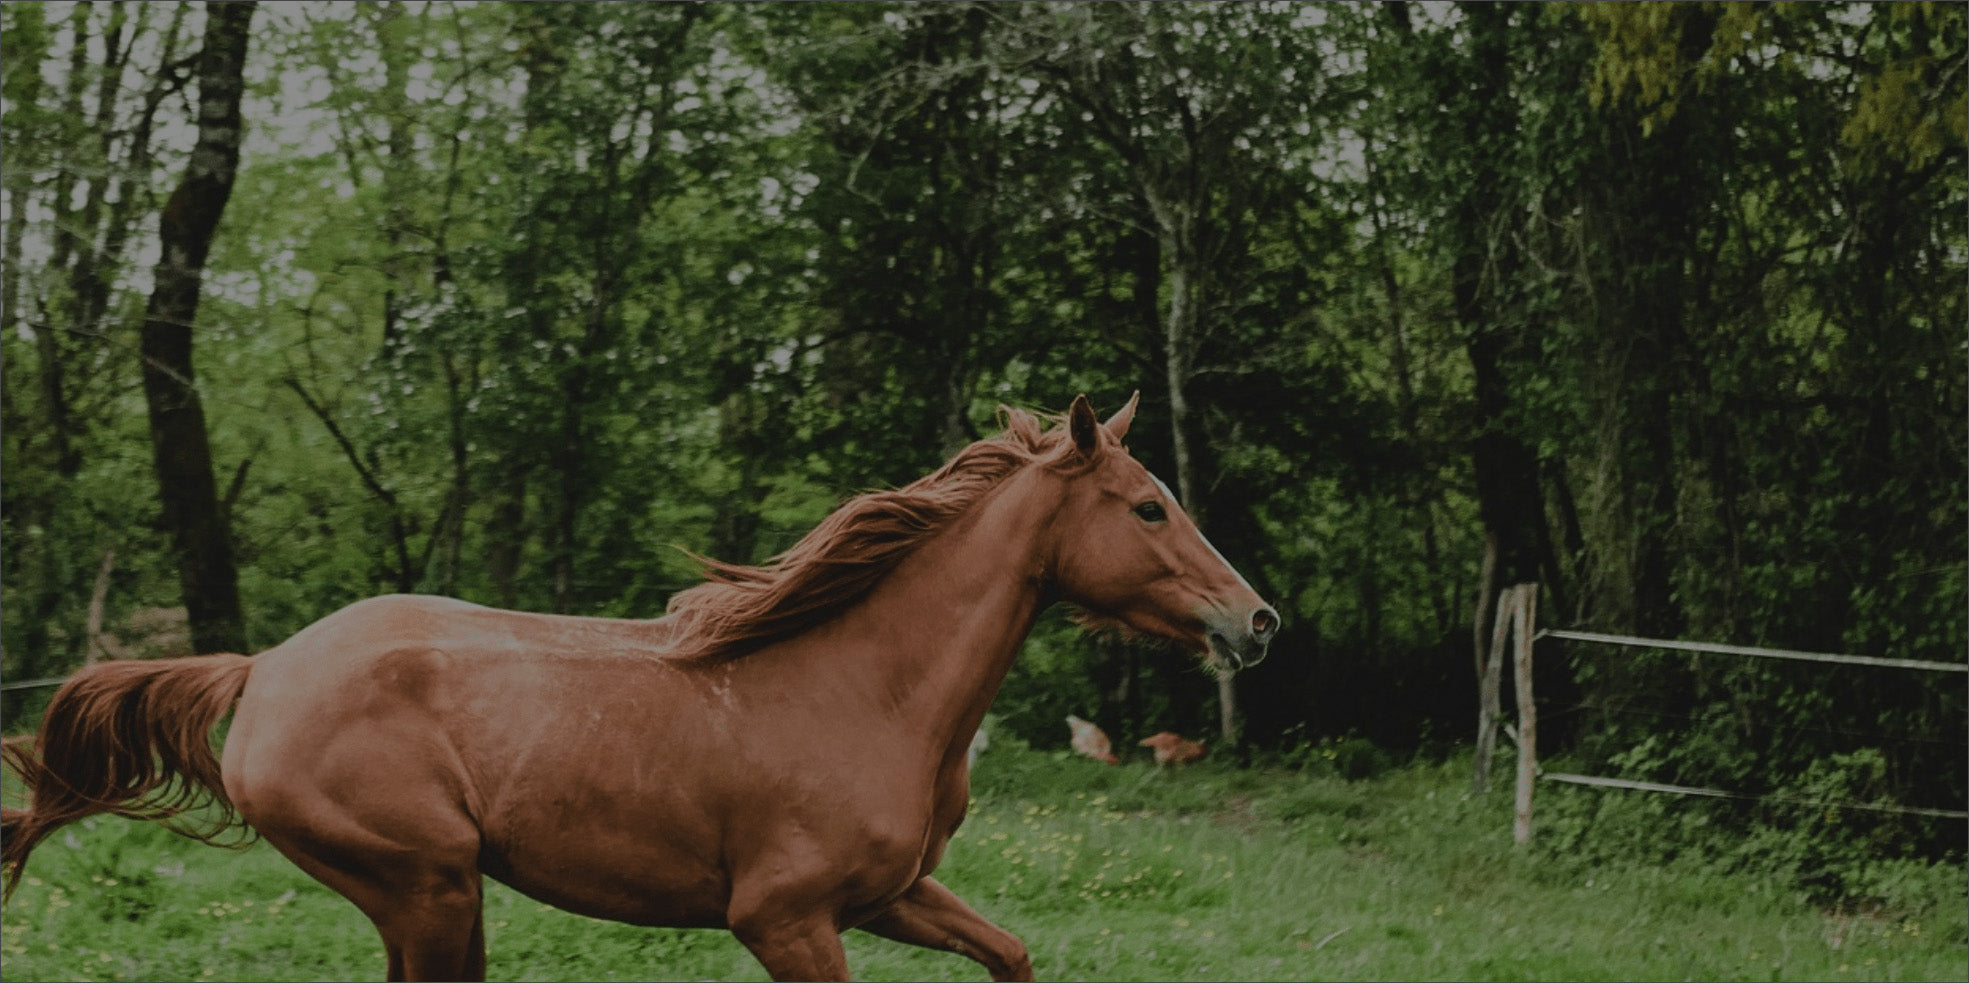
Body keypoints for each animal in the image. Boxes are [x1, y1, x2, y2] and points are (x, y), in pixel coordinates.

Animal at [3, 393, 1275, 983]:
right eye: (1148, 505)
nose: (1255, 619)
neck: (869, 691)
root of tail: (263, 667)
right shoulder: (785, 916)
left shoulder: (891, 893)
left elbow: (1008, 951)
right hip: (427, 886)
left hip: (428, 896)